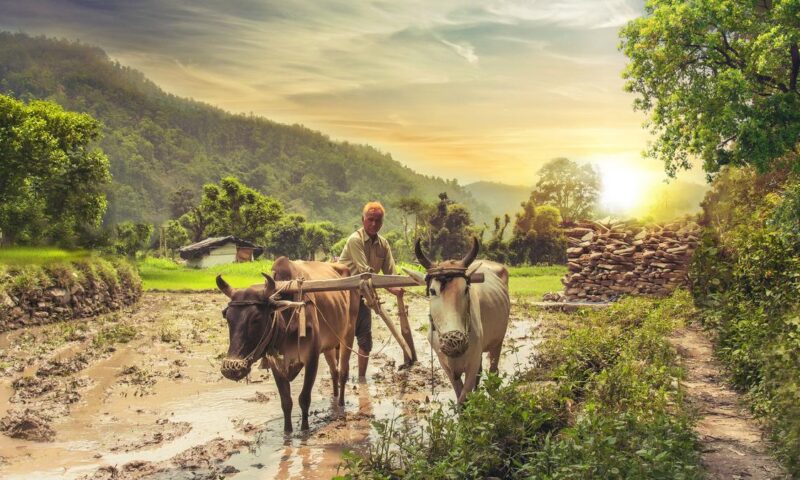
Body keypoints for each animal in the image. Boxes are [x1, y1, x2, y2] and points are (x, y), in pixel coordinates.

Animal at [216, 257, 359, 432]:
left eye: (256, 318)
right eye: (227, 317)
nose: (231, 368)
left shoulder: (312, 359)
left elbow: (304, 398)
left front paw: (304, 429)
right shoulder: (275, 363)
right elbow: (286, 402)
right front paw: (287, 431)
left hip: (348, 335)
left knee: (343, 372)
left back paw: (341, 404)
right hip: (329, 345)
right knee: (334, 372)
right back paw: (335, 397)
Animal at [404, 238, 510, 404]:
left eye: (465, 289)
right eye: (432, 291)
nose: (453, 341)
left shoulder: (473, 363)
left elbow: (464, 399)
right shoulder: (446, 365)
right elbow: (460, 396)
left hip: (497, 342)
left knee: (493, 373)